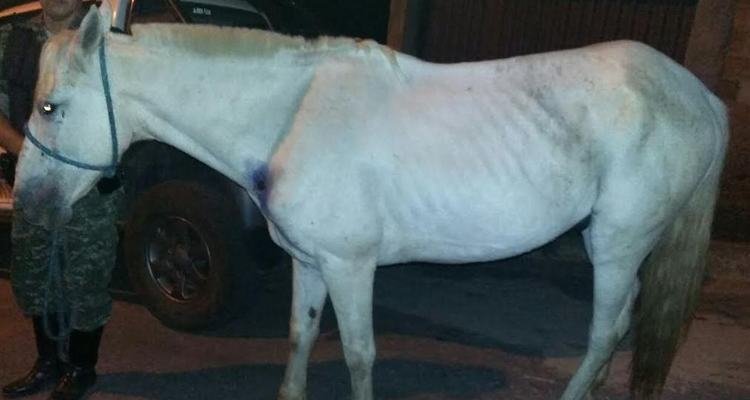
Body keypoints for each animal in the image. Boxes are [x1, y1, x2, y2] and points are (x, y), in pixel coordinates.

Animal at [15, 2, 728, 399]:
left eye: (50, 108)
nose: (26, 203)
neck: (291, 117)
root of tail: (695, 92)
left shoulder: (350, 265)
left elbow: (358, 354)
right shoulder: (309, 262)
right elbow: (301, 336)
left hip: (618, 242)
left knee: (607, 328)